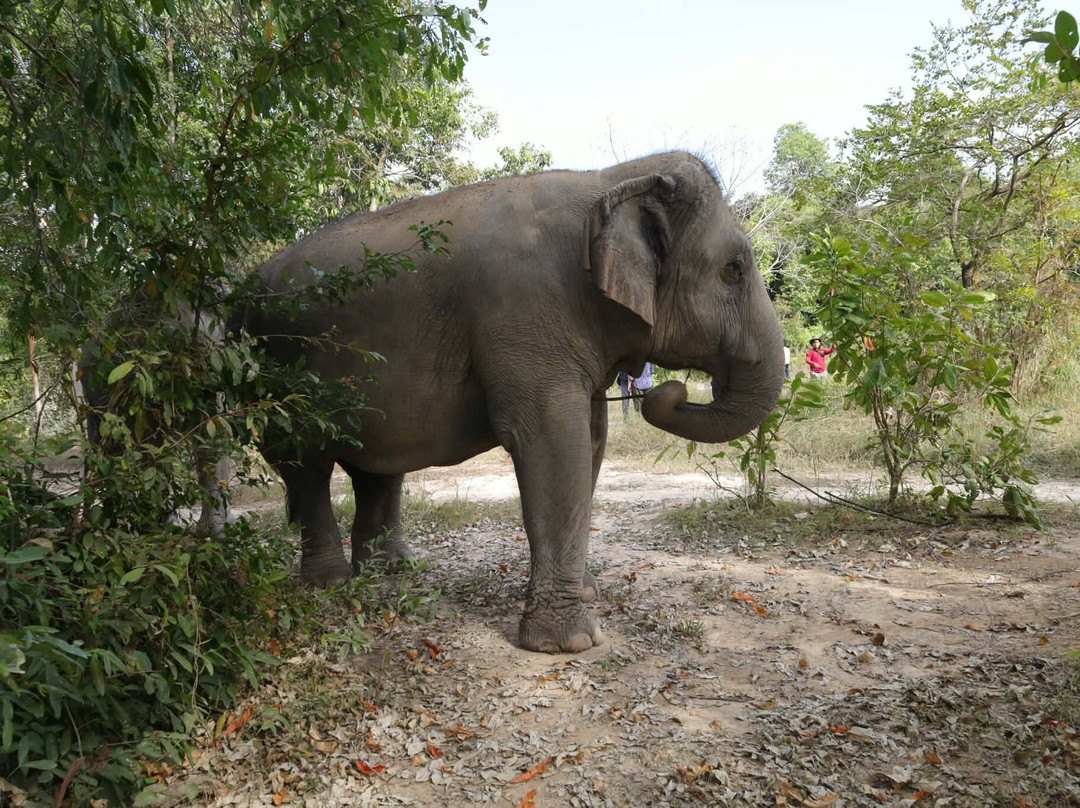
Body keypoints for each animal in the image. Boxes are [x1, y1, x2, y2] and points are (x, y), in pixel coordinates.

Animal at [234, 150, 784, 654]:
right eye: (734, 269)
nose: (666, 390)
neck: (609, 177)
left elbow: (592, 438)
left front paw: (586, 593)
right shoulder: (527, 312)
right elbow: (553, 441)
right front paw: (569, 643)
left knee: (377, 468)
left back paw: (392, 570)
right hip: (277, 366)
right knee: (305, 465)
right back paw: (329, 583)